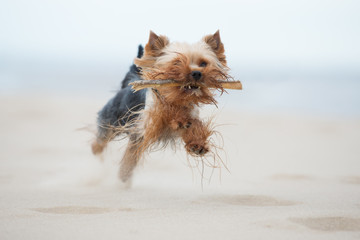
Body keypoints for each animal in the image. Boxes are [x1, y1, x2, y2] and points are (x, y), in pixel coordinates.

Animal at [91, 31, 235, 183]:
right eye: (177, 62)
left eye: (203, 63)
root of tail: (129, 82)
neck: (177, 99)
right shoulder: (148, 123)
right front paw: (177, 117)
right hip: (111, 120)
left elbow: (194, 124)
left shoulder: (186, 119)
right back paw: (98, 152)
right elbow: (164, 114)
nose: (197, 73)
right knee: (102, 139)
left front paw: (197, 144)